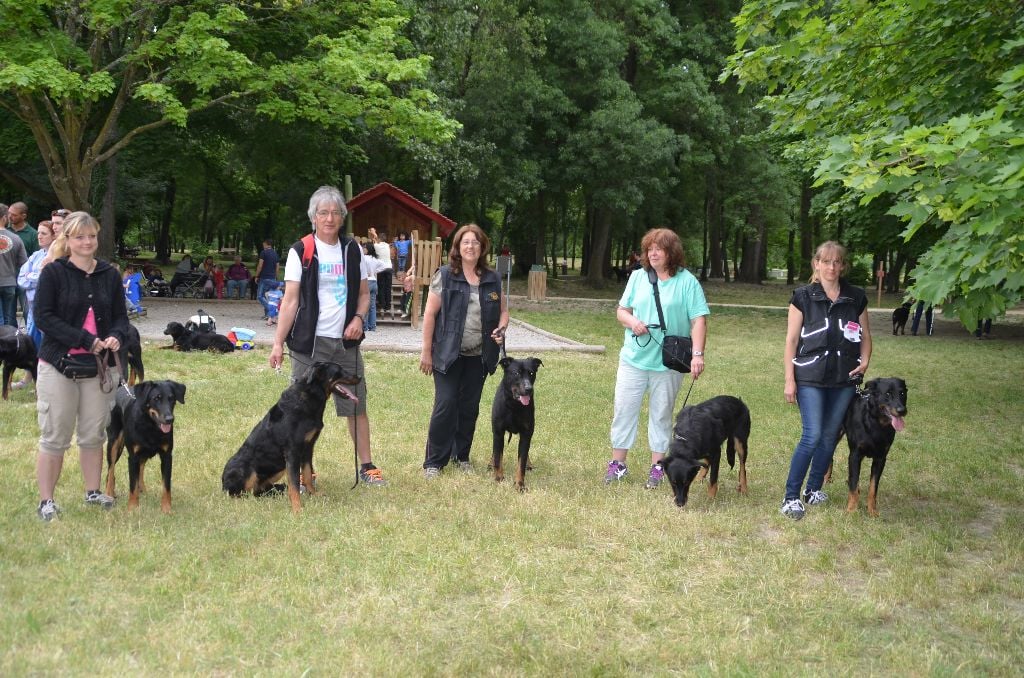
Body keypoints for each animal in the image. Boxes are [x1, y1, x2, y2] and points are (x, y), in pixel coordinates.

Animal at [104, 378, 187, 512]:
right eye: (156, 398)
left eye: (172, 398)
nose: (170, 419)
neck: (150, 425)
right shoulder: (133, 457)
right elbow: (132, 485)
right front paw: (132, 508)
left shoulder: (167, 456)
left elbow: (166, 486)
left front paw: (167, 508)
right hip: (114, 443)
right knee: (110, 470)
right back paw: (109, 493)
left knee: (141, 467)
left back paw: (142, 488)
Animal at [221, 364, 360, 512]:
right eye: (339, 370)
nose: (360, 377)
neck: (310, 396)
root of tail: (222, 483)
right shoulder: (292, 451)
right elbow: (294, 484)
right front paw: (297, 508)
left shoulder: (308, 448)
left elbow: (307, 474)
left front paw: (313, 494)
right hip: (247, 470)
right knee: (239, 493)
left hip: (278, 470)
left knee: (258, 490)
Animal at [489, 356, 544, 493]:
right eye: (517, 373)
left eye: (531, 373)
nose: (529, 389)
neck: (514, 406)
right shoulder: (498, 432)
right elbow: (498, 457)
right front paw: (498, 478)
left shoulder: (526, 434)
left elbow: (521, 462)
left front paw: (519, 485)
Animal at [843, 378, 909, 518]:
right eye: (888, 394)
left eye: (902, 393)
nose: (902, 410)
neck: (876, 424)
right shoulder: (855, 455)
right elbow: (853, 483)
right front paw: (851, 510)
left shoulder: (880, 458)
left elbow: (873, 488)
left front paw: (872, 511)